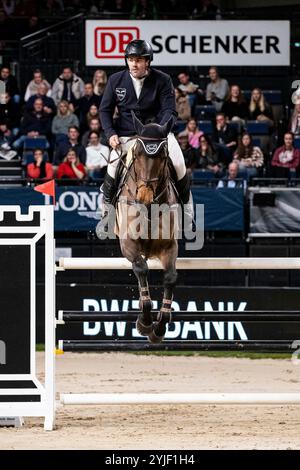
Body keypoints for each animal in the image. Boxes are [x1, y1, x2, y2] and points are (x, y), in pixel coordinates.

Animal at [113, 113, 178, 342]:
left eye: (163, 156)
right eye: (137, 154)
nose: (144, 198)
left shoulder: (169, 246)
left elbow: (170, 277)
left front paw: (159, 327)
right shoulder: (128, 244)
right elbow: (141, 268)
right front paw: (145, 323)